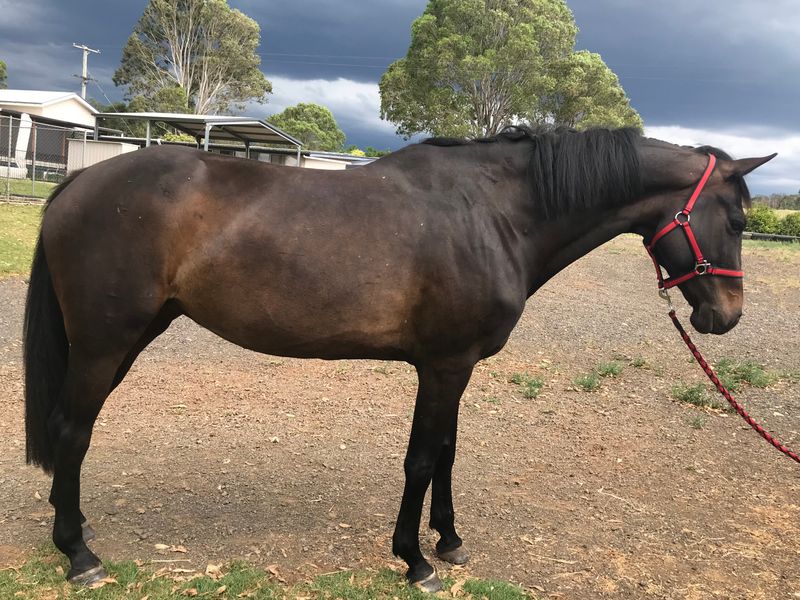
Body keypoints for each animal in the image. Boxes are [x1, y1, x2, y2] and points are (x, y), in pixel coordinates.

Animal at [23, 126, 774, 591]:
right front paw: (415, 561)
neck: (493, 213)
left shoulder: (457, 366)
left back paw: (77, 530)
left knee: (70, 432)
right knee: (71, 430)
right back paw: (79, 554)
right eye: (737, 220)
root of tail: (75, 186)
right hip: (105, 342)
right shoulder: (442, 366)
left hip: (129, 337)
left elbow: (445, 454)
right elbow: (420, 458)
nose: (725, 317)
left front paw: (449, 540)